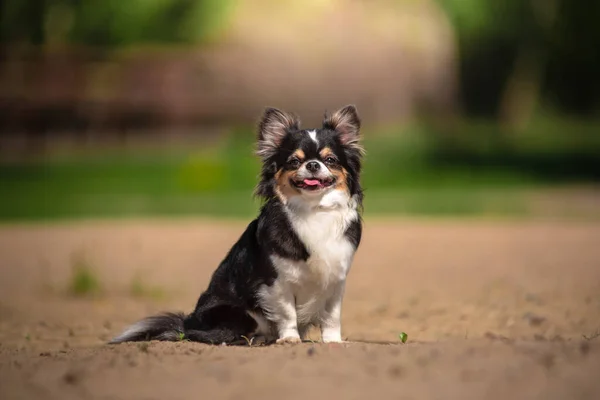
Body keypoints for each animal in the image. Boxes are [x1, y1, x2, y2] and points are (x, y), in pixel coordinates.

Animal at [110, 104, 366, 346]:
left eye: (330, 160)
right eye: (294, 161)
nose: (313, 165)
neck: (313, 210)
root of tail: (187, 322)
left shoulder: (335, 280)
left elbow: (331, 316)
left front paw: (332, 341)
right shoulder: (277, 282)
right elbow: (287, 313)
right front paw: (290, 339)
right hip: (240, 314)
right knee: (203, 335)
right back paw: (252, 339)